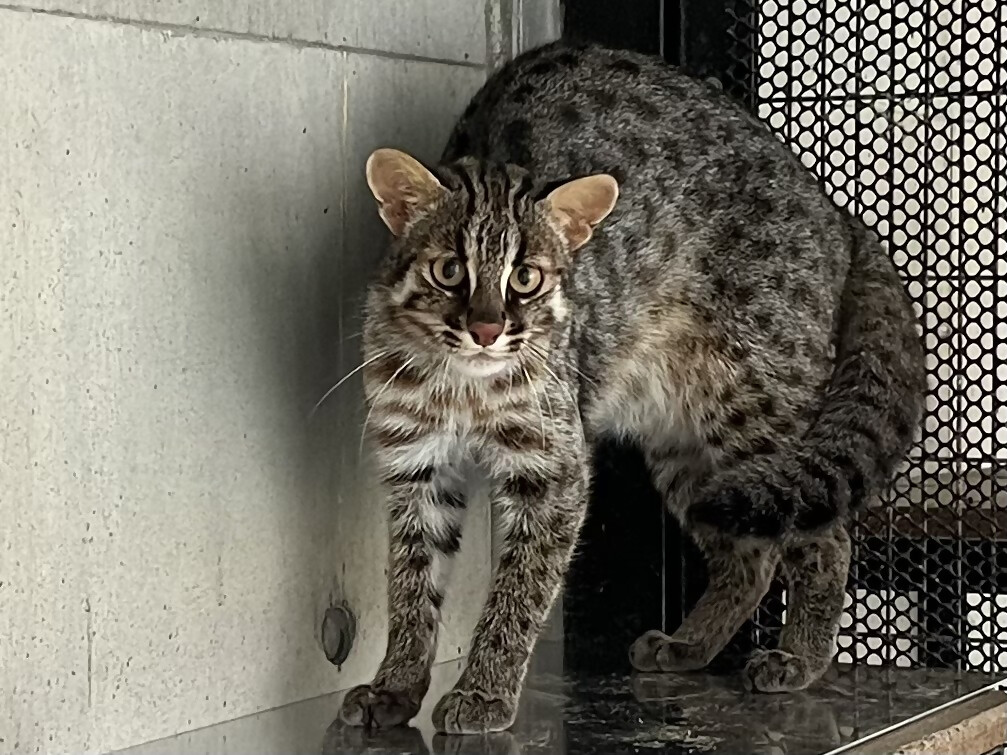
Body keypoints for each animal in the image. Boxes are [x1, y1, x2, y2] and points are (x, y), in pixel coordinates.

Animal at [339, 42, 925, 735]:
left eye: (527, 278)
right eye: (450, 270)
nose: (487, 329)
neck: (464, 386)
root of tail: (833, 209)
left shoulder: (552, 466)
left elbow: (519, 587)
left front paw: (485, 690)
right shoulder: (416, 461)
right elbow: (411, 582)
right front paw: (397, 684)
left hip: (756, 407)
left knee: (825, 534)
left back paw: (801, 656)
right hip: (693, 456)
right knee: (749, 557)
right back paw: (693, 644)